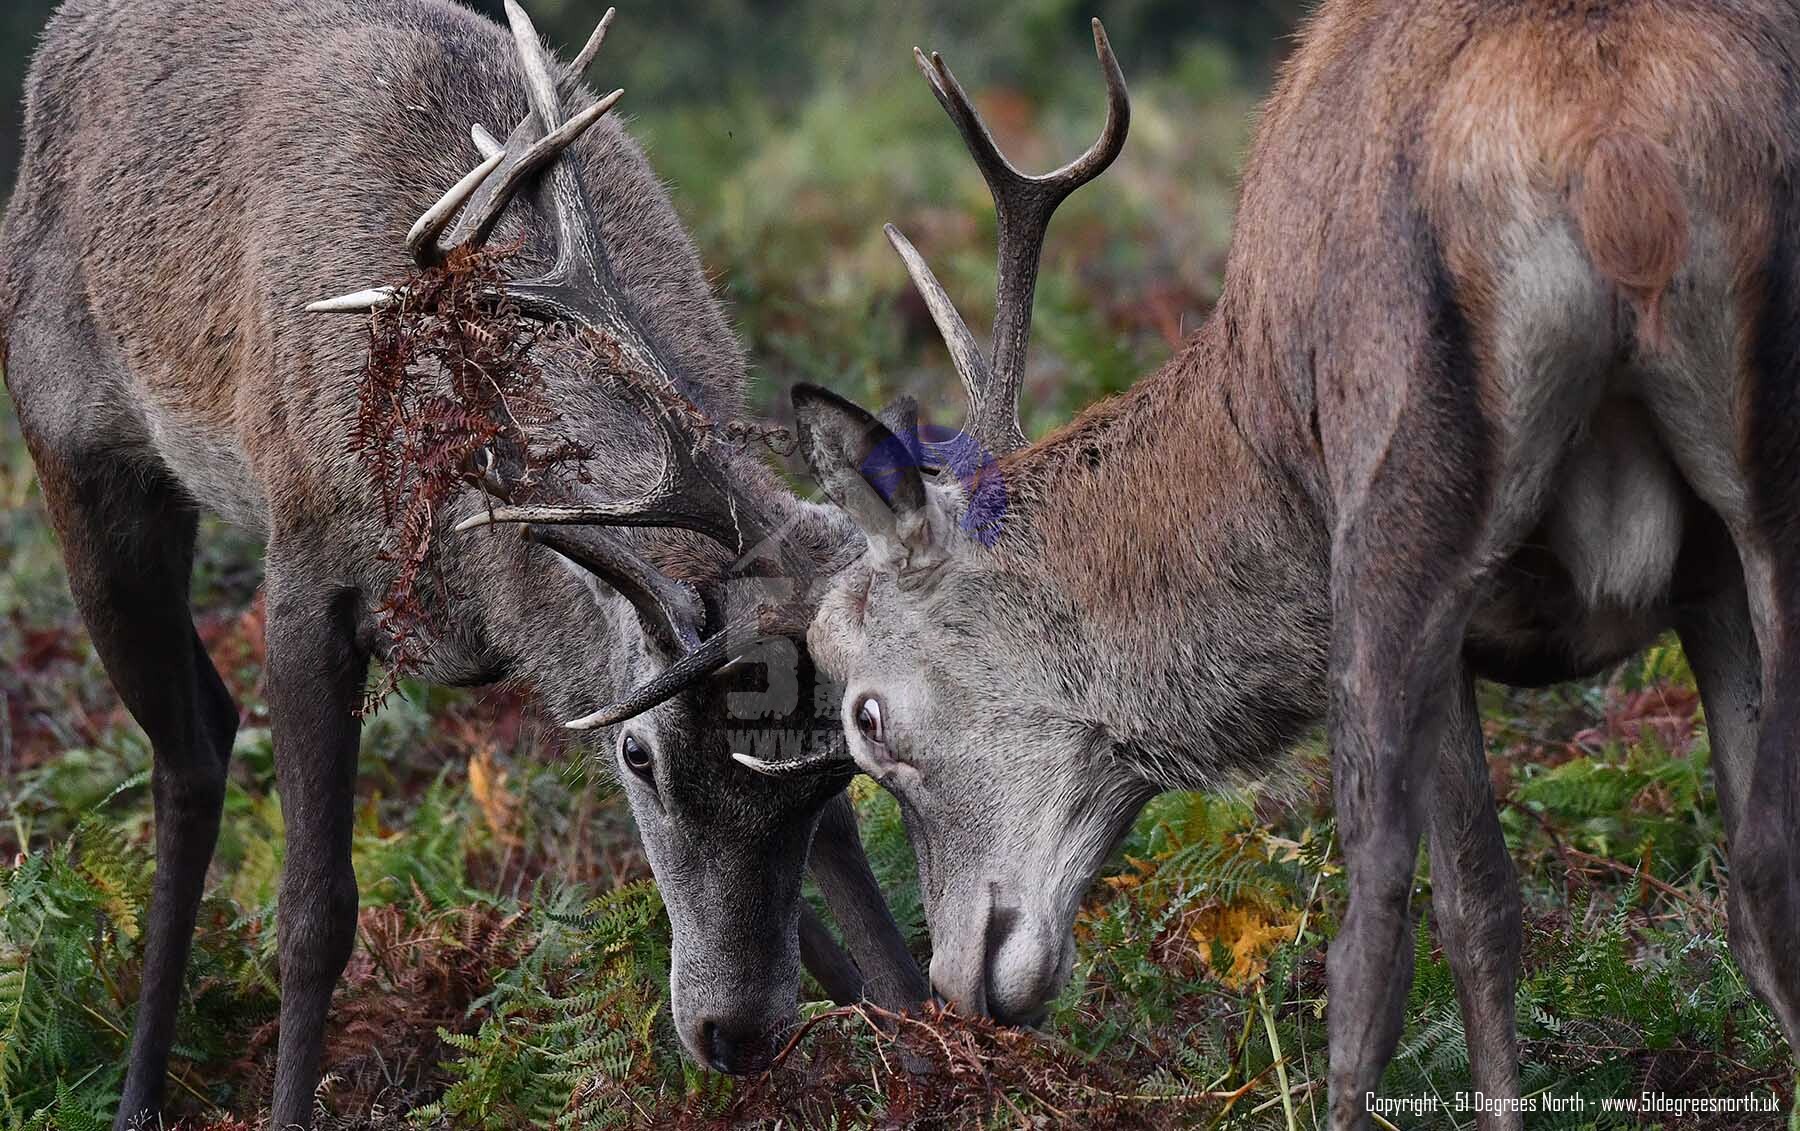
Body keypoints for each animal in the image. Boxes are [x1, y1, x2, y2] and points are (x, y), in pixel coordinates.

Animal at [0, 1, 929, 1128]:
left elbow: (865, 910)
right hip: (71, 443)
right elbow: (314, 913)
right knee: (186, 752)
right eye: (643, 756)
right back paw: (136, 1093)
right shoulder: (308, 567)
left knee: (206, 721)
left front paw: (939, 1045)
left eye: (846, 763)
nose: (736, 1034)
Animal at [775, 3, 1800, 1127]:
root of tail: (1616, 155)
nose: (954, 986)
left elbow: (1476, 910)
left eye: (867, 719)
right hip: (1764, 490)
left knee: (1383, 926)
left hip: (1402, 504)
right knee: (1765, 860)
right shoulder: (1705, 580)